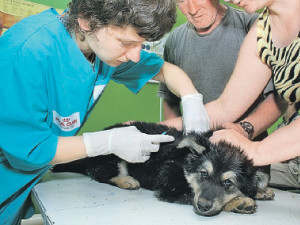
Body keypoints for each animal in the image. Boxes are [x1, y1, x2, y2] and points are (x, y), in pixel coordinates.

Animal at [52, 121, 274, 216]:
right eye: (203, 174)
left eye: (228, 183)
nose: (203, 206)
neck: (185, 163)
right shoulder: (171, 184)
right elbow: (190, 192)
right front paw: (239, 201)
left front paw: (260, 190)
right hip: (114, 155)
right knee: (100, 173)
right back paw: (126, 180)